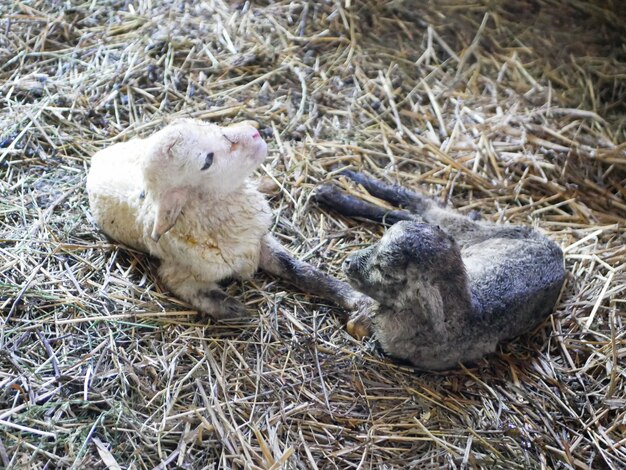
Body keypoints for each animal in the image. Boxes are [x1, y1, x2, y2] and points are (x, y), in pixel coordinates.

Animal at [86, 118, 368, 320]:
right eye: (207, 161)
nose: (254, 134)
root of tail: (97, 157)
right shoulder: (179, 274)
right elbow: (203, 295)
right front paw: (239, 311)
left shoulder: (258, 242)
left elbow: (300, 269)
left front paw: (351, 296)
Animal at [314, 170, 564, 370]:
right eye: (378, 242)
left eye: (386, 271)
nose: (348, 262)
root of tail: (558, 253)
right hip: (472, 235)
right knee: (418, 209)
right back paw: (346, 182)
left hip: (469, 233)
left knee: (423, 207)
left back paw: (334, 191)